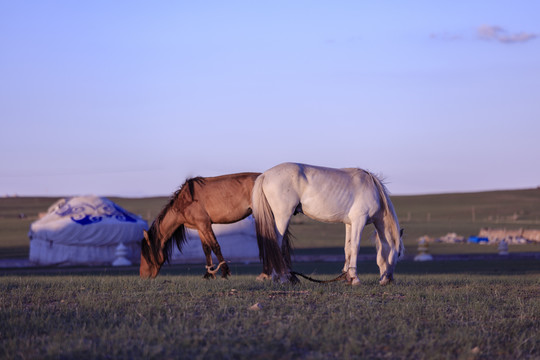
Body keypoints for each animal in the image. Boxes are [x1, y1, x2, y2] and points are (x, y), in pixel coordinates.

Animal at [252, 162, 400, 284]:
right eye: (398, 254)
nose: (389, 280)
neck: (373, 190)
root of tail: (265, 175)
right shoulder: (359, 220)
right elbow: (355, 247)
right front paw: (355, 278)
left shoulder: (350, 224)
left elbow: (348, 248)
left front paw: (347, 276)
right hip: (282, 217)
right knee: (276, 245)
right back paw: (282, 278)